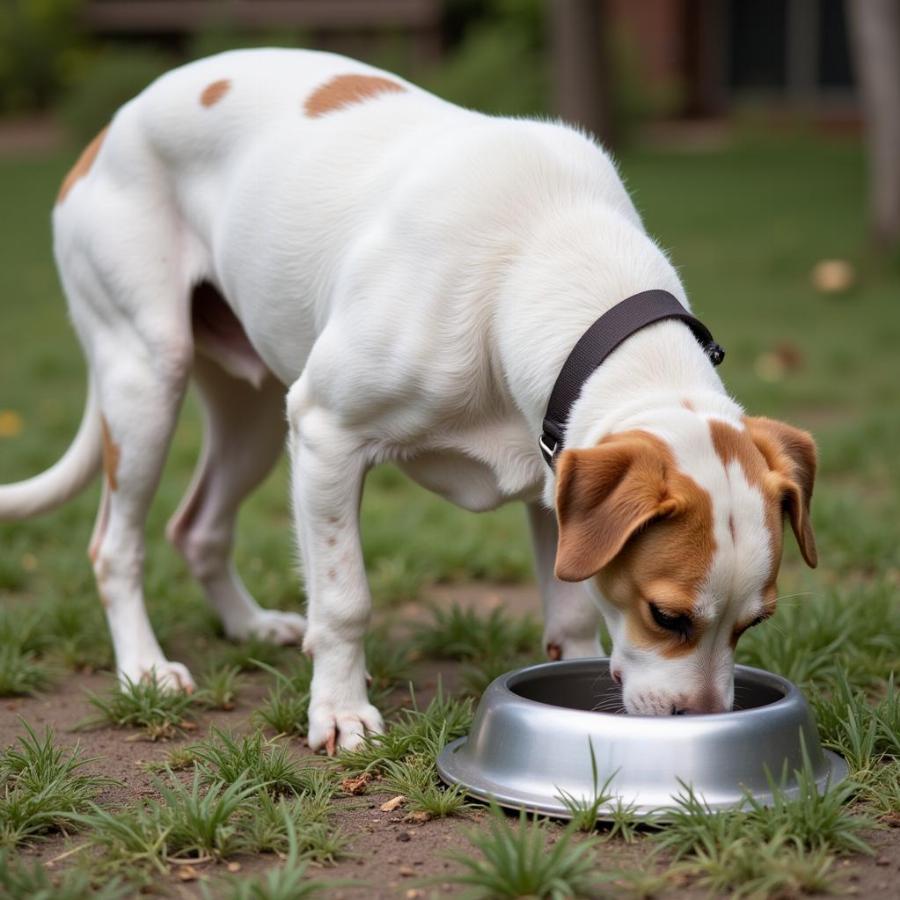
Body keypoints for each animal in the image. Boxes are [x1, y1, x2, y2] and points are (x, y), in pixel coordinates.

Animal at [0, 49, 816, 752]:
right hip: (148, 378)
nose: (704, 722)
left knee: (198, 525)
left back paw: (247, 625)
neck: (538, 260)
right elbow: (344, 599)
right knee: (116, 546)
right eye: (666, 616)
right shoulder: (326, 433)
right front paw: (339, 711)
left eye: (753, 624)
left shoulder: (554, 472)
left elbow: (570, 601)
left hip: (254, 413)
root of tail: (110, 127)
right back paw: (144, 667)